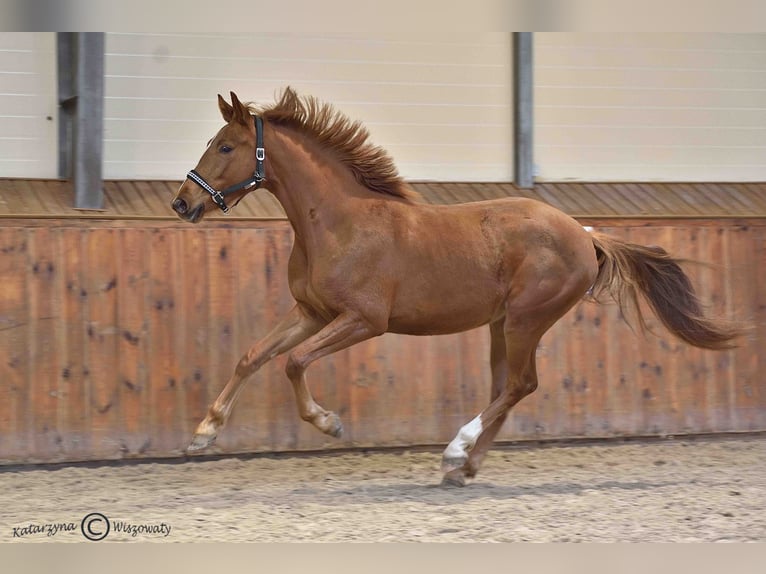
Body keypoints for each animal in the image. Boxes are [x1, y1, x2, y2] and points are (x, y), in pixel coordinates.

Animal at [171, 88, 739, 486]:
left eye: (225, 145)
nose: (182, 203)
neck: (336, 222)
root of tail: (585, 235)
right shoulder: (312, 312)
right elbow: (253, 355)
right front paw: (203, 435)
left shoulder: (363, 320)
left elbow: (293, 362)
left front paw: (328, 423)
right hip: (500, 326)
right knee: (506, 389)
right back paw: (461, 468)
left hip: (527, 319)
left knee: (520, 385)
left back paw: (455, 450)